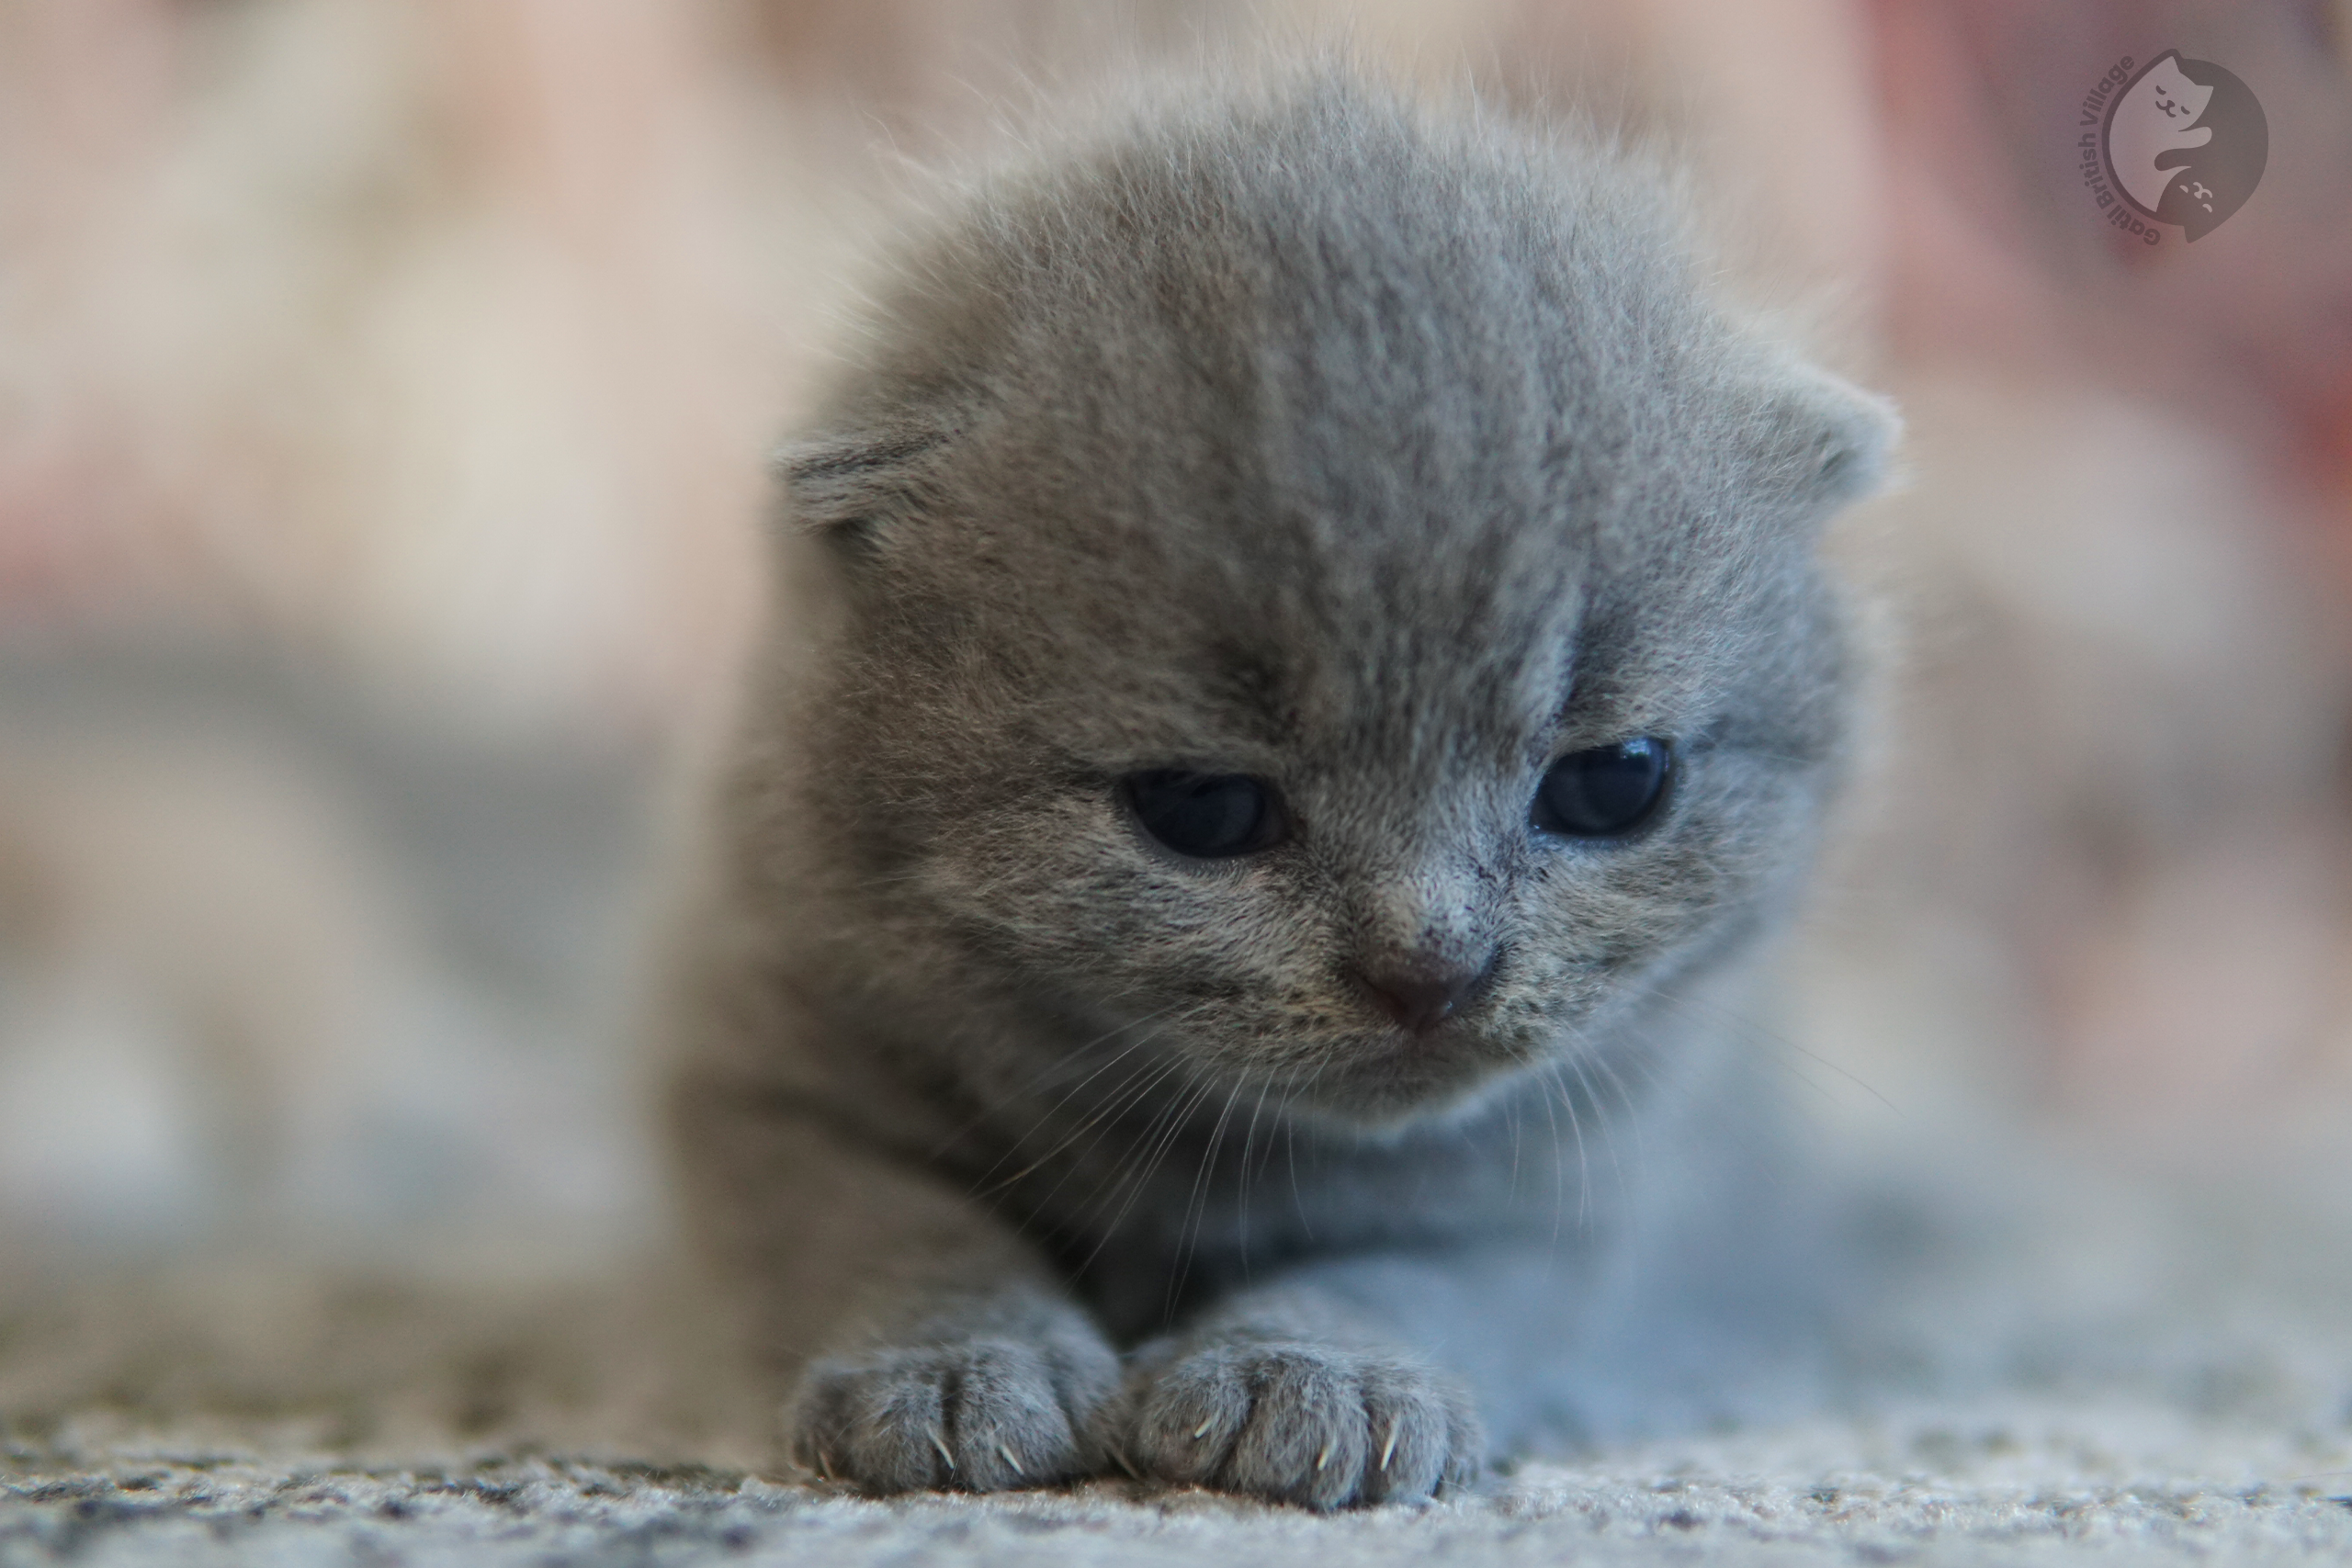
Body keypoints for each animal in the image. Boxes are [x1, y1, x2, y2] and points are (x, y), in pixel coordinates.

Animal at [662, 70, 1891, 1504]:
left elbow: (1405, 1274)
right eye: (1202, 806)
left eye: (1611, 785)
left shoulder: (1579, 1182)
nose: (1432, 968)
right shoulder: (757, 1060)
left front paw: (1308, 1378)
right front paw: (955, 1364)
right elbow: (887, 1222)